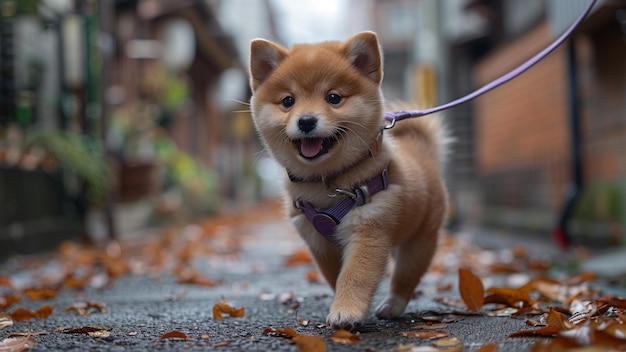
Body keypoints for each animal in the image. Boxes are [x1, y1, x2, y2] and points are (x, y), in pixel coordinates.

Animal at [246, 31, 446, 330]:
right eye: (288, 101)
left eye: (333, 97)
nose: (306, 121)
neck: (328, 182)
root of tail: (422, 149)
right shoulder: (317, 240)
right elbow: (336, 276)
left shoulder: (369, 229)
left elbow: (355, 275)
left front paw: (346, 312)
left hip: (419, 241)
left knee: (405, 278)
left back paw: (392, 305)